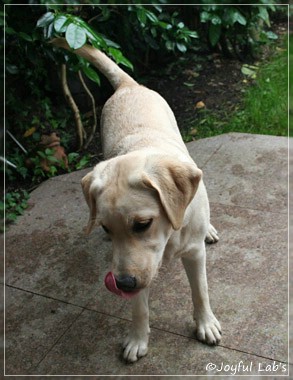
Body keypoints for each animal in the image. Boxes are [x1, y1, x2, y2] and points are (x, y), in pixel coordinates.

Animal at [53, 37, 221, 362]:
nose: (123, 284)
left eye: (143, 224)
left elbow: (201, 291)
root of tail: (128, 85)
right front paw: (138, 338)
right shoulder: (133, 266)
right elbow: (139, 306)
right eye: (105, 227)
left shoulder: (193, 254)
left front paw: (206, 324)